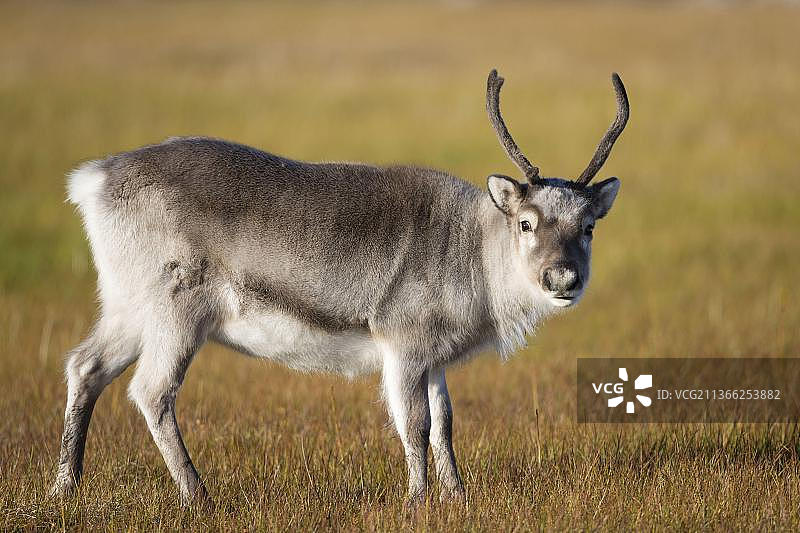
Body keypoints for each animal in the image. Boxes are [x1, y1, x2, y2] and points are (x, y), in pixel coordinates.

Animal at [51, 69, 628, 506]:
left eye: (588, 226)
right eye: (527, 223)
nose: (563, 278)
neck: (474, 252)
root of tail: (93, 180)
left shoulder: (435, 357)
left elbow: (444, 423)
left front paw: (459, 497)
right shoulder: (403, 344)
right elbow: (414, 424)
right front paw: (417, 501)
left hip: (127, 308)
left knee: (85, 366)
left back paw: (64, 488)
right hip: (177, 311)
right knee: (152, 391)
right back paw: (199, 496)